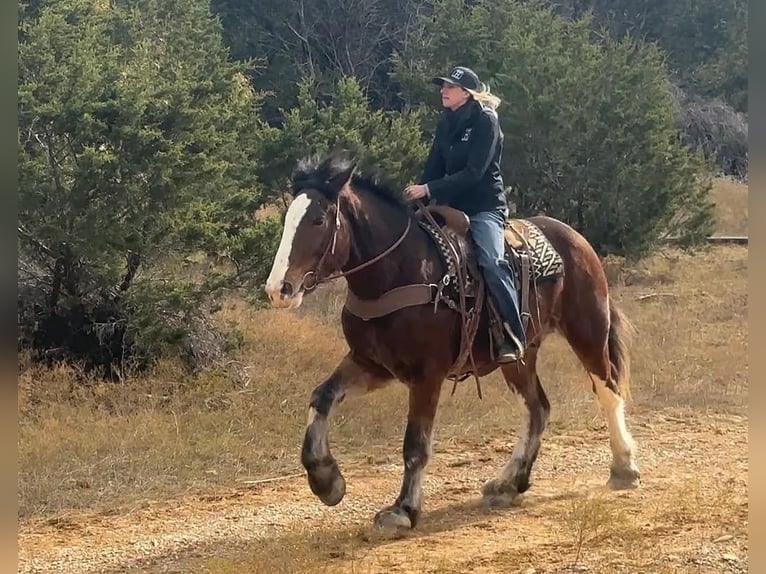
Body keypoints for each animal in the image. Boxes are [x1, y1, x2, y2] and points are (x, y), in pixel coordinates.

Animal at [264, 152, 640, 532]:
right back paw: (508, 483)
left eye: (318, 219)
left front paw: (403, 510)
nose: (279, 289)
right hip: (520, 357)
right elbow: (322, 398)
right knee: (537, 409)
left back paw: (623, 467)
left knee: (607, 390)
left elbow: (416, 444)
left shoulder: (426, 375)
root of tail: (575, 238)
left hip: (587, 330)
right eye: (289, 217)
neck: (399, 271)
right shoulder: (371, 364)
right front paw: (326, 479)